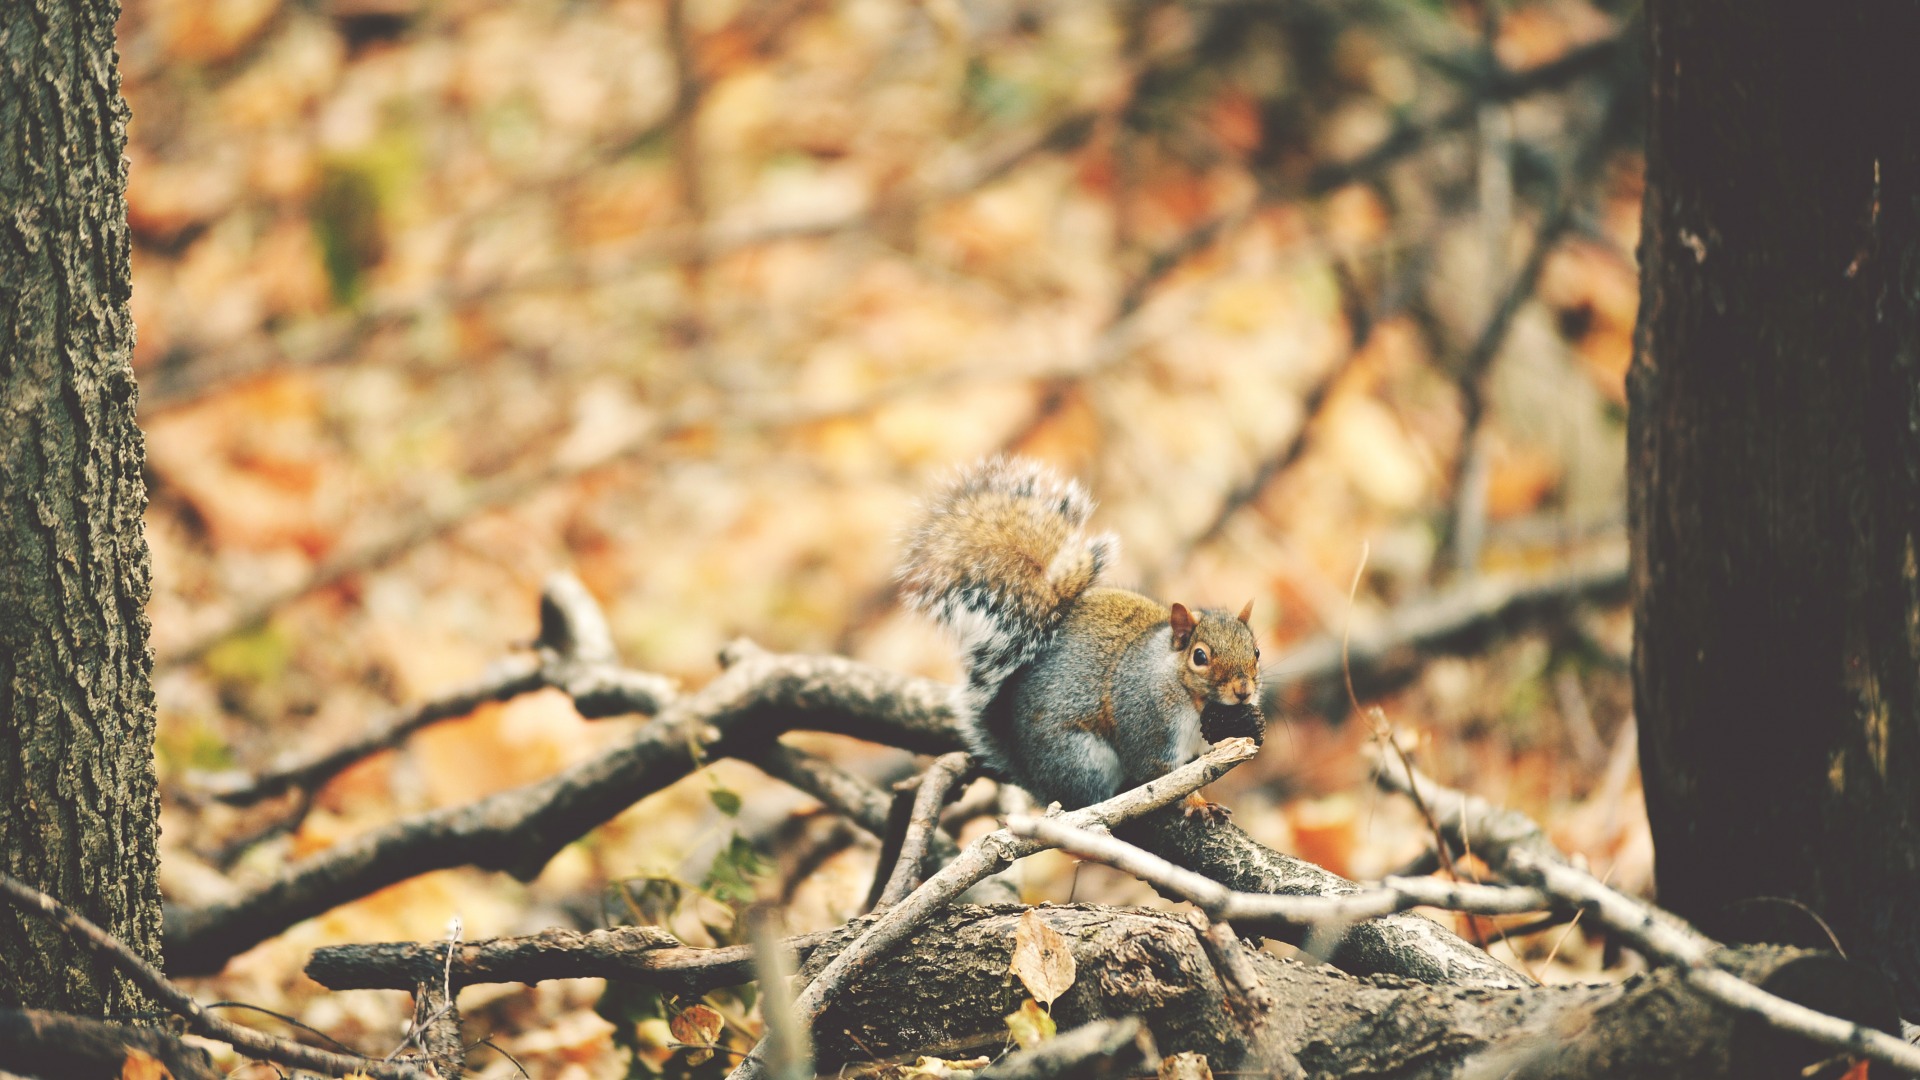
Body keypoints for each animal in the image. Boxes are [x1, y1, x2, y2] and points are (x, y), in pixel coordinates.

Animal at [894, 453, 1267, 814]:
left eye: (1256, 652)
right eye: (1199, 656)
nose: (1243, 691)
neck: (1190, 695)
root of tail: (1028, 772)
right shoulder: (1146, 721)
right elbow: (1163, 776)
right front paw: (1198, 805)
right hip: (1082, 761)